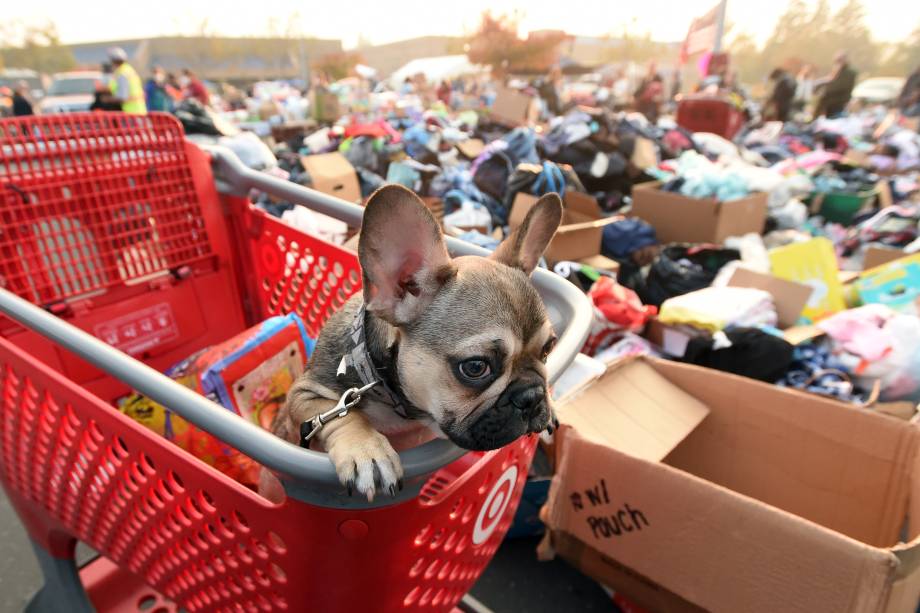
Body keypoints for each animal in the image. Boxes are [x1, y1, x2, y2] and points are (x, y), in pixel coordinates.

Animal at [270, 184, 564, 500]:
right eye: (475, 367)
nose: (532, 395)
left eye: (548, 348)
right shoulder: (305, 394)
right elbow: (342, 416)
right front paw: (367, 450)